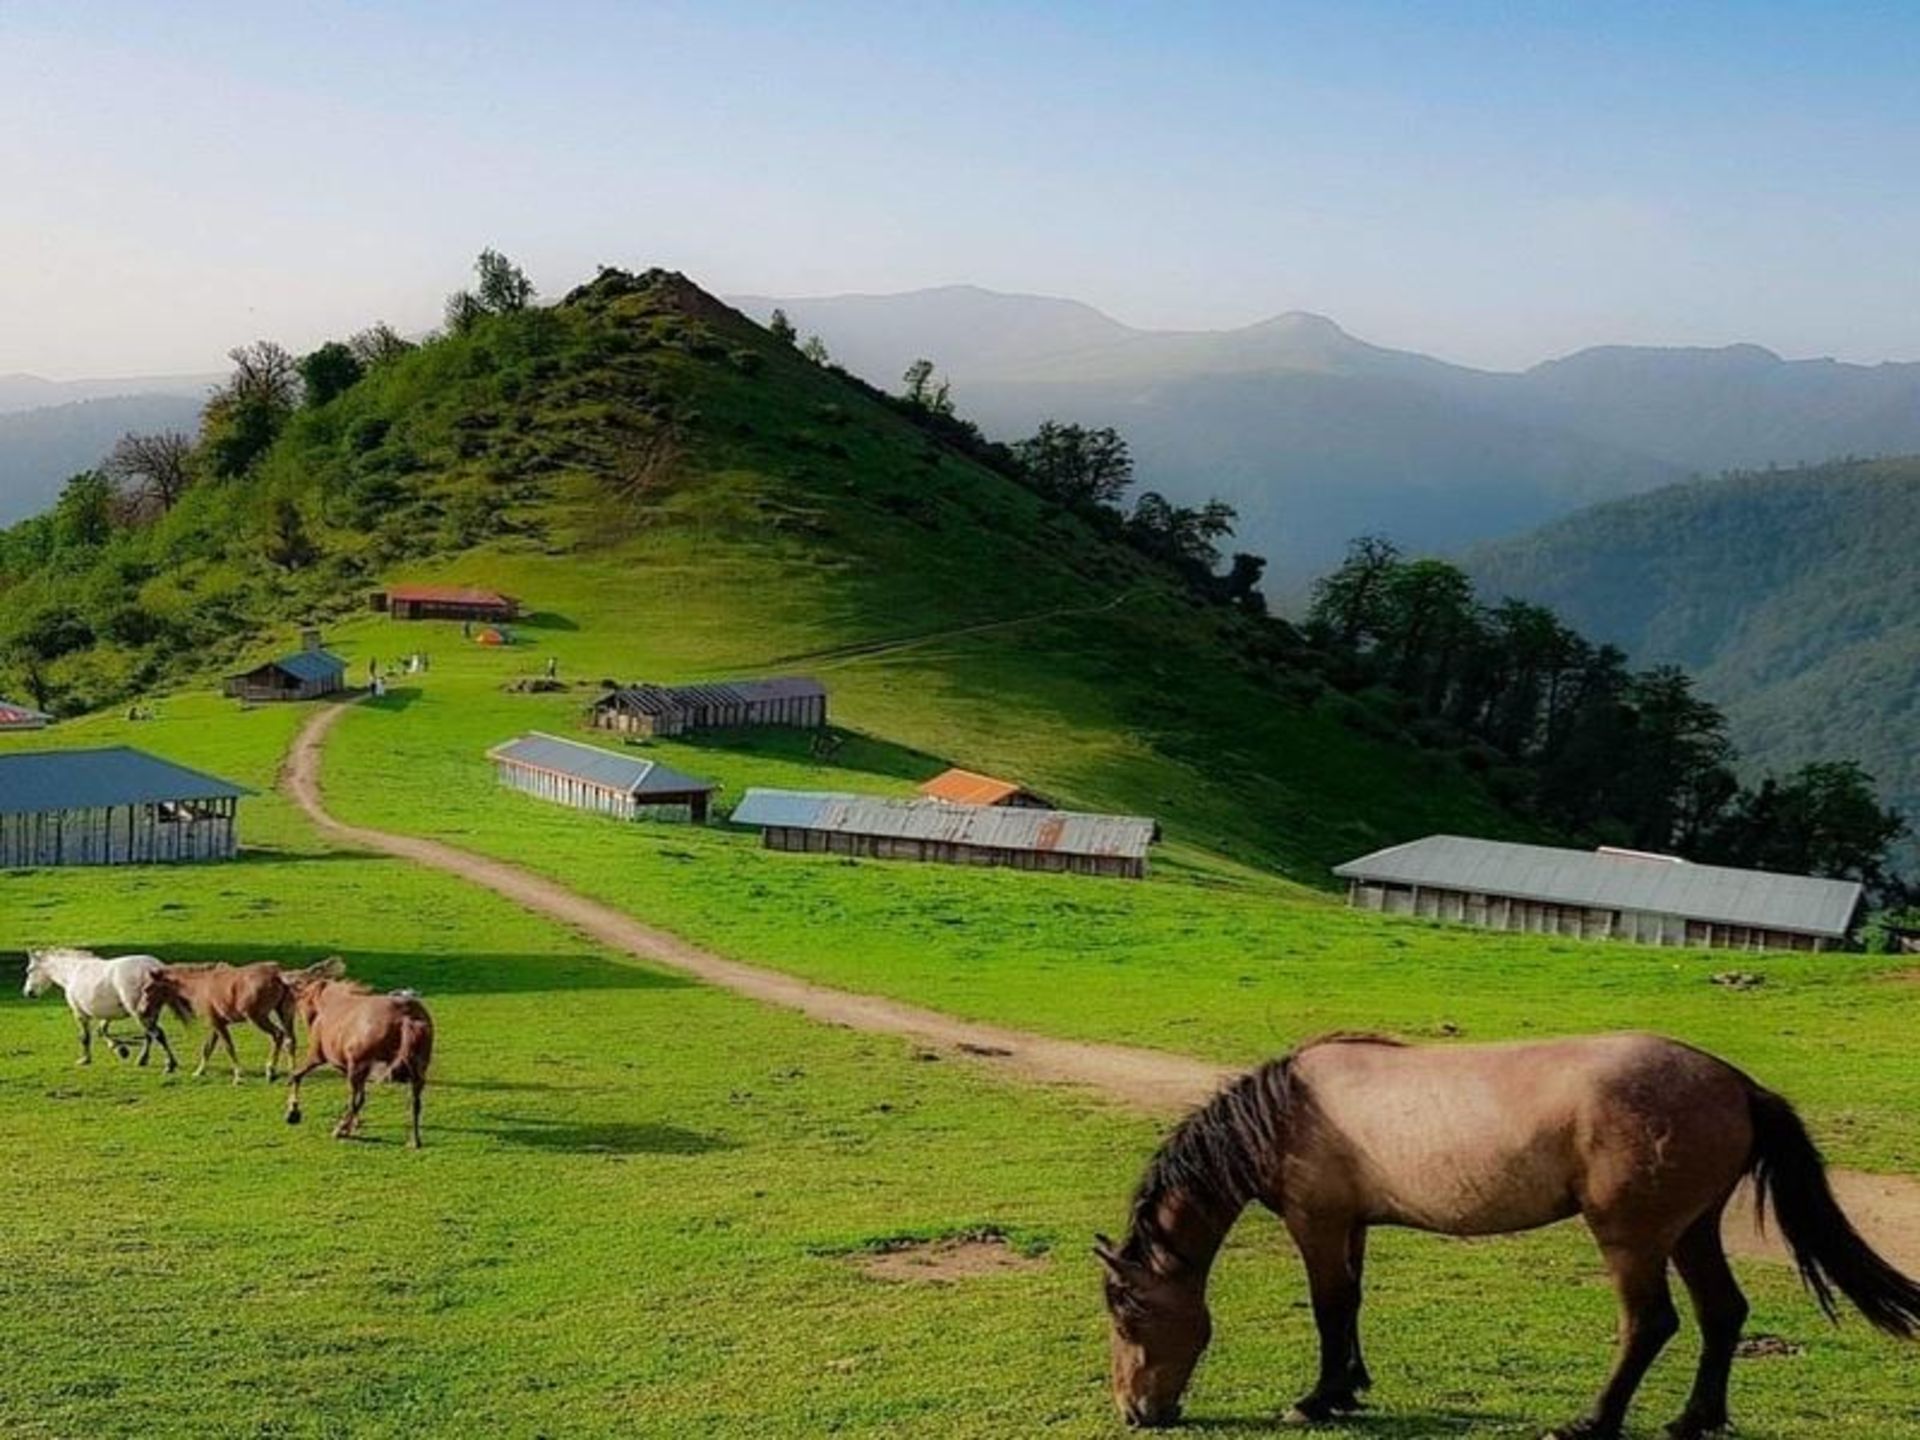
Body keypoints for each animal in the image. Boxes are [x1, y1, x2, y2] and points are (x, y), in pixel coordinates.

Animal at [21, 948, 180, 1071]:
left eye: (29, 970)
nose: (28, 992)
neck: (72, 972)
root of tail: (154, 967)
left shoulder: (80, 1013)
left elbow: (85, 1037)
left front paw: (85, 1059)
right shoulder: (105, 1015)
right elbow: (102, 1030)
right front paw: (120, 1050)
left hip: (140, 1013)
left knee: (158, 1034)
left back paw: (170, 1064)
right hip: (150, 1012)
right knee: (150, 1034)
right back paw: (142, 1060)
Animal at [138, 962, 301, 1083]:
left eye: (147, 989)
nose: (141, 1011)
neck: (200, 985)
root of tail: (278, 975)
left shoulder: (217, 1024)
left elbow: (228, 1047)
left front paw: (238, 1076)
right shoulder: (215, 1024)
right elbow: (207, 1048)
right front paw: (199, 1072)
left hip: (257, 1018)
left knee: (277, 1035)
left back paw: (270, 1071)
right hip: (284, 1013)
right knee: (290, 1040)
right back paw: (291, 1074)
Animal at [283, 963, 433, 1148]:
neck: (329, 1003)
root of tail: (406, 1016)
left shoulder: (318, 1056)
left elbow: (296, 1076)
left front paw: (293, 1111)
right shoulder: (351, 1068)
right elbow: (360, 1097)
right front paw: (354, 1123)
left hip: (358, 1068)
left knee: (356, 1100)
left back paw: (339, 1130)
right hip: (416, 1072)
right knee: (415, 1103)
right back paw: (414, 1140)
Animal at [1098, 1032, 1920, 1438]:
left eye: (1129, 1319)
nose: (1136, 1413)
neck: (1284, 1111)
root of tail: (1738, 1084)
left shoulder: (1317, 1223)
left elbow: (1330, 1309)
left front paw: (1318, 1400)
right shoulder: (1352, 1224)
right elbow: (1351, 1307)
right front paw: (1351, 1390)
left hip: (1632, 1236)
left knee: (1650, 1322)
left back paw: (1592, 1422)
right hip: (1692, 1230)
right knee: (1723, 1313)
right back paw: (1696, 1420)